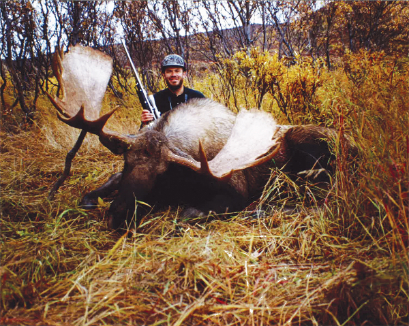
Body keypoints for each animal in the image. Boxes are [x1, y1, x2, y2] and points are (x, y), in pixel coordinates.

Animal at [47, 45, 354, 229]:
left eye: (162, 174)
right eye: (127, 162)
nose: (118, 215)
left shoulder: (236, 192)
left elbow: (187, 215)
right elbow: (96, 189)